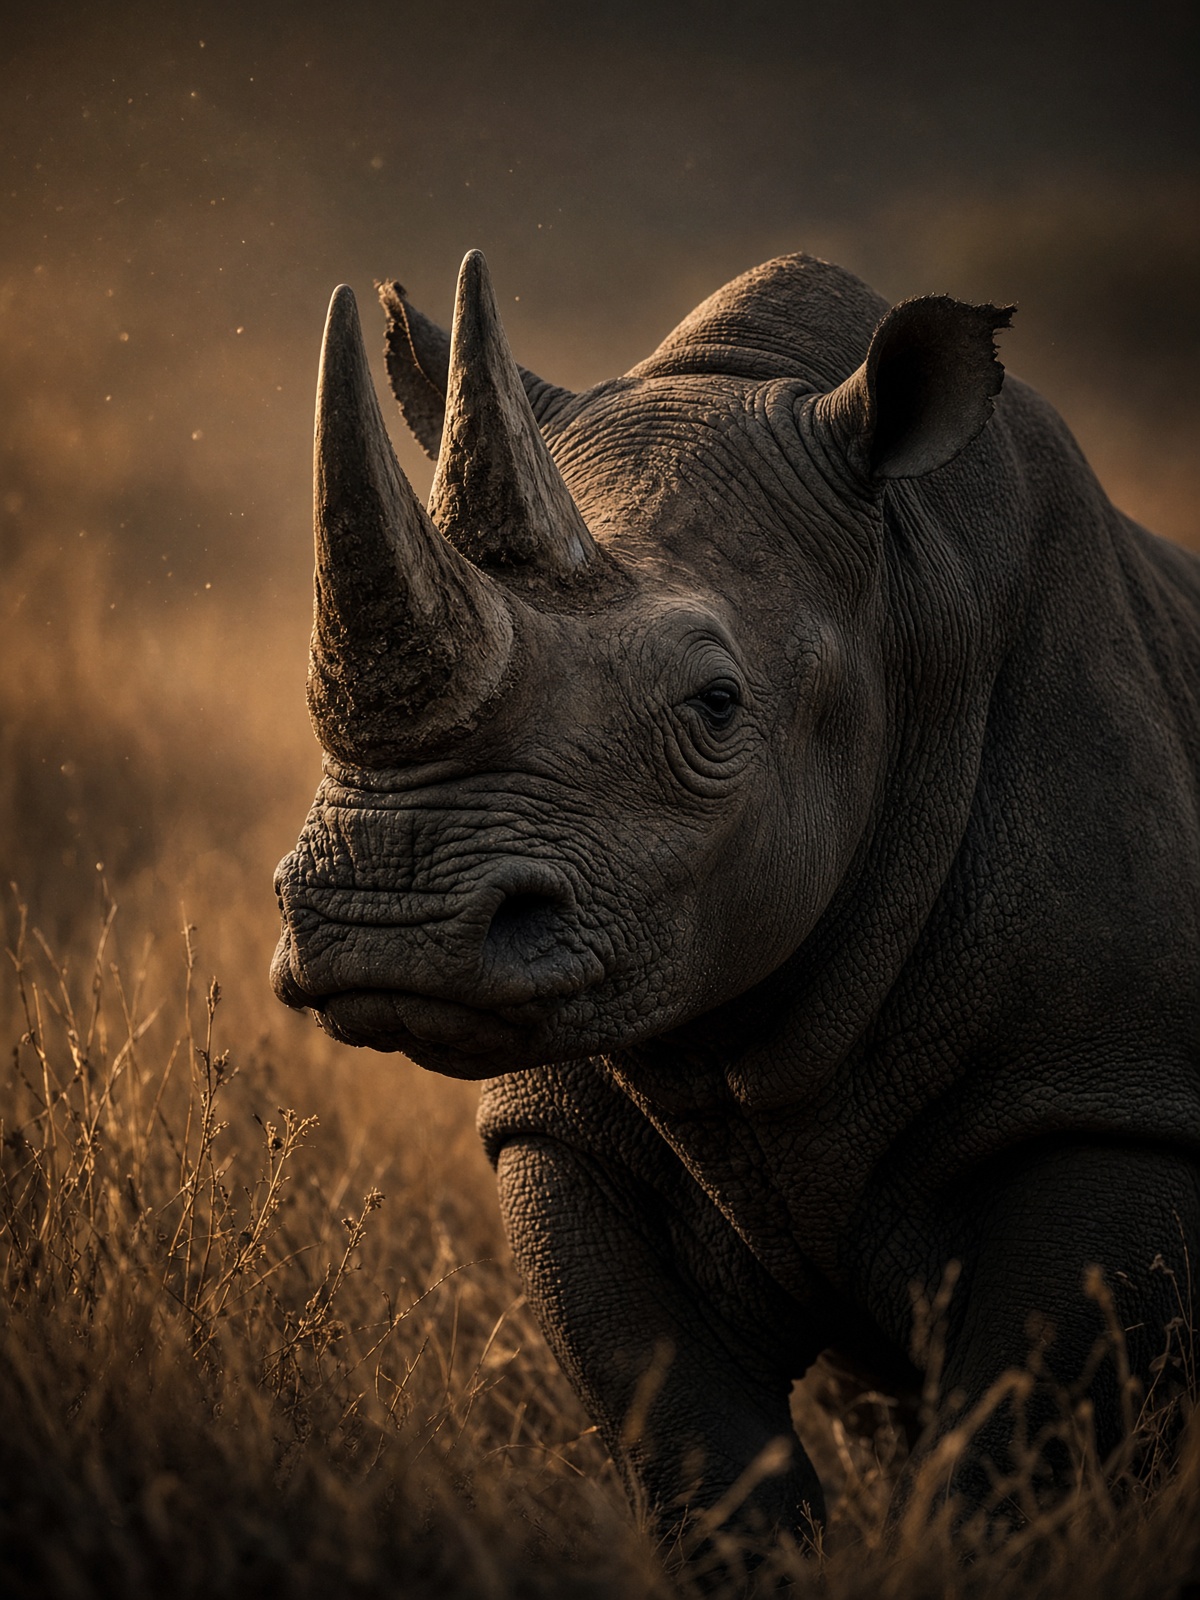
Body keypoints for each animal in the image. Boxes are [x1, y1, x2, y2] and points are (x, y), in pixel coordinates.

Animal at [272, 249, 1200, 1552]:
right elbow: (692, 1444)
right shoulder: (565, 1126)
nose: (384, 920)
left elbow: (1016, 1459)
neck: (900, 598)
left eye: (718, 704)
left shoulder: (1109, 1096)